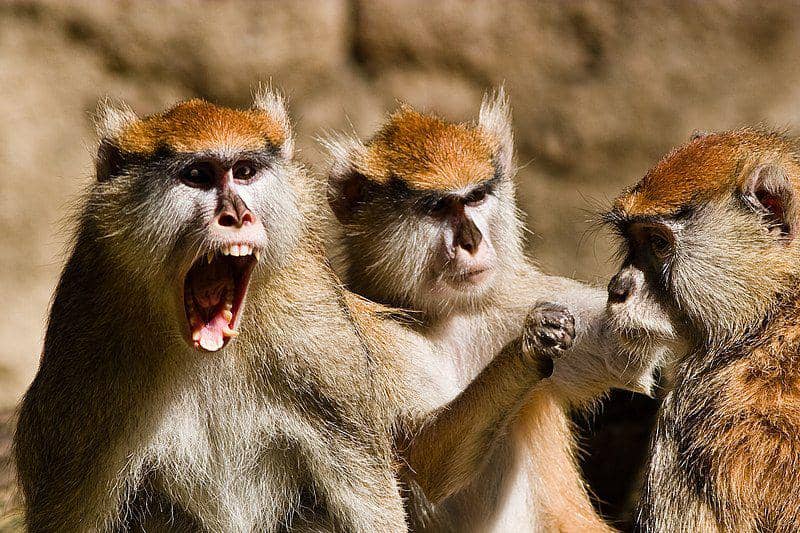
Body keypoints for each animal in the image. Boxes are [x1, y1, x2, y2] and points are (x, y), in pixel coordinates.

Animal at [323, 89, 670, 532]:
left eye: (476, 197)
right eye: (437, 207)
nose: (472, 240)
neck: (448, 316)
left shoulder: (514, 296)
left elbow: (621, 350)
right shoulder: (358, 326)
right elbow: (420, 458)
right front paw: (529, 347)